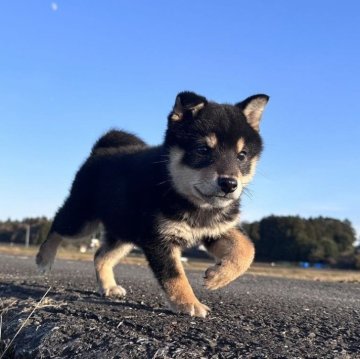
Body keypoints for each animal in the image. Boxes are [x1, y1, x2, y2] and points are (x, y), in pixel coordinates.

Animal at [36, 91, 268, 320]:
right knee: (58, 226)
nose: (229, 184)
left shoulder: (216, 229)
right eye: (202, 149)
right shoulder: (159, 239)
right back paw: (44, 259)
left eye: (242, 156)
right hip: (82, 220)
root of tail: (99, 150)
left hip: (124, 233)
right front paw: (189, 303)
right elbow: (174, 275)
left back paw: (109, 286)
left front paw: (218, 276)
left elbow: (247, 250)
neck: (195, 205)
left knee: (100, 256)